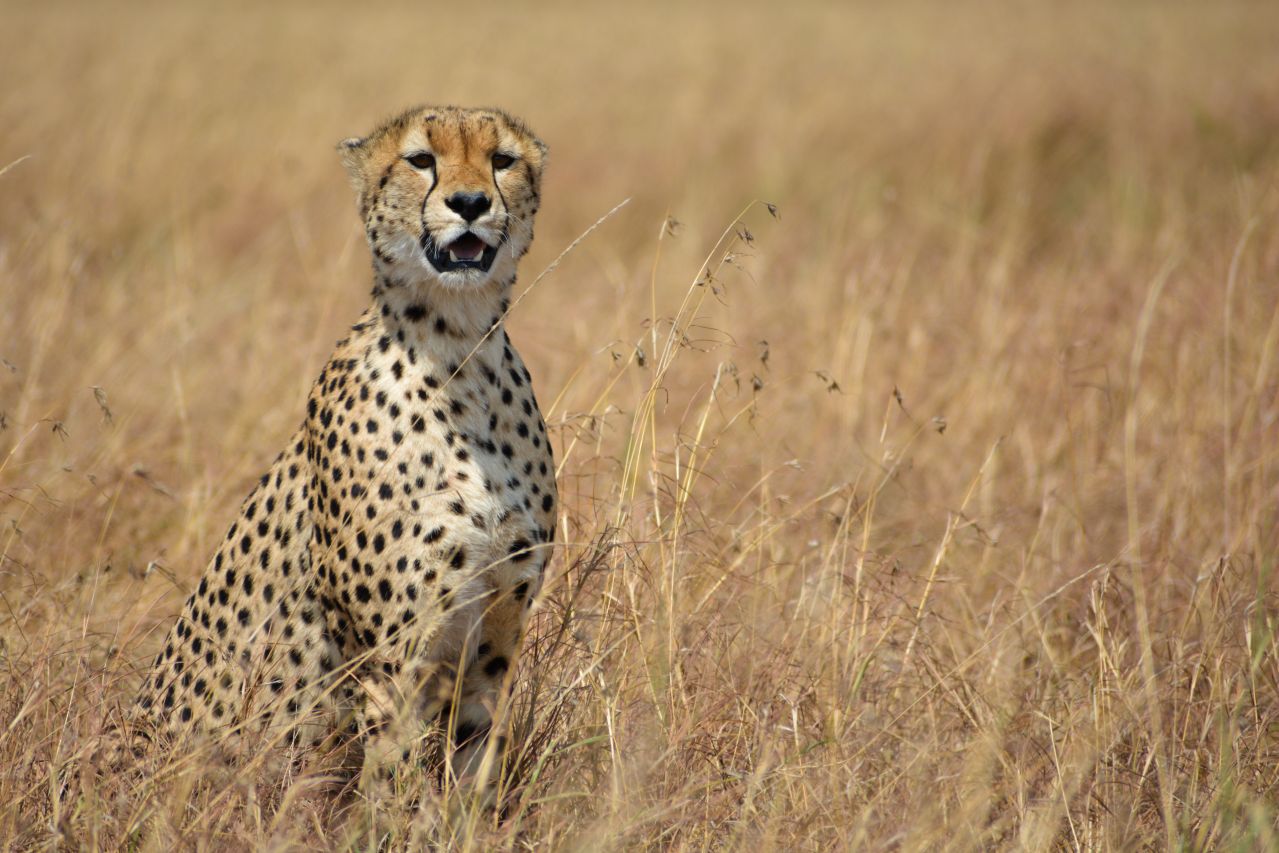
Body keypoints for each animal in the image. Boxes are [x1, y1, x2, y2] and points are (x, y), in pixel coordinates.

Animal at [133, 104, 560, 803]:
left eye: (502, 160)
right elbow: (400, 785)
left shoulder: (493, 647)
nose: (470, 202)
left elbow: (473, 774)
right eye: (421, 160)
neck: (461, 347)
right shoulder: (393, 661)